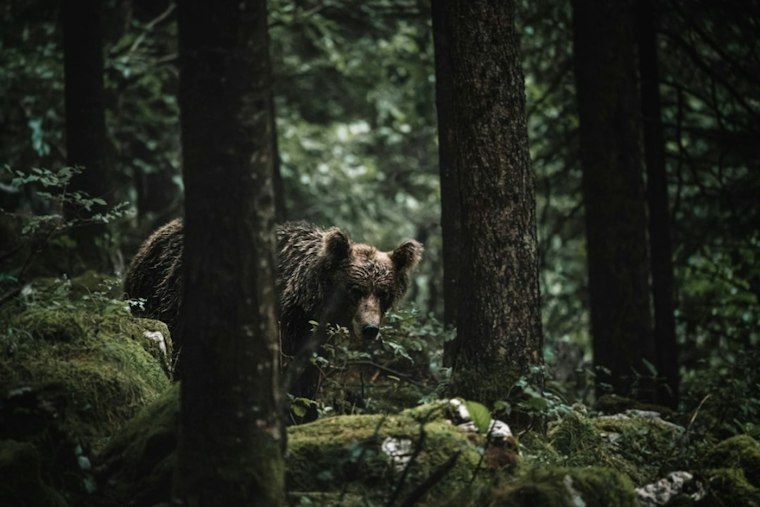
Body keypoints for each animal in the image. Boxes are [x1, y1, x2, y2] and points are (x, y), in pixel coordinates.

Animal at [123, 218, 423, 402]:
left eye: (383, 292)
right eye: (355, 289)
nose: (370, 329)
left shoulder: (312, 338)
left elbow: (307, 380)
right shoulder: (283, 325)